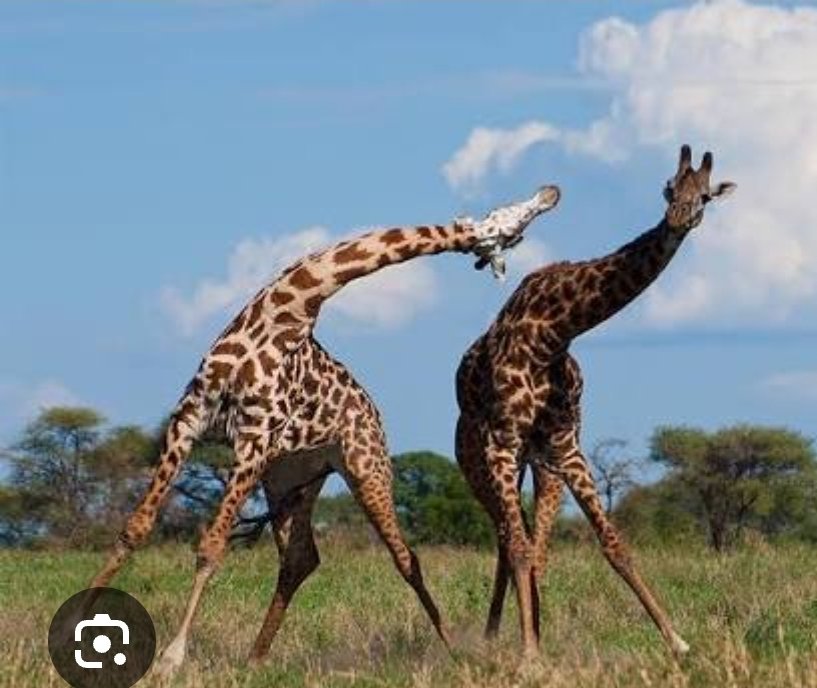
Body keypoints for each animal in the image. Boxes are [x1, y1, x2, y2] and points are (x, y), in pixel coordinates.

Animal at [81, 184, 561, 675]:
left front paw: (171, 658)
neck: (288, 306)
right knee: (299, 558)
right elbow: (136, 527)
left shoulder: (252, 437)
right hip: (289, 478)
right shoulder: (190, 418)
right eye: (511, 220)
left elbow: (211, 547)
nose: (550, 193)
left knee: (405, 557)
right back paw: (255, 657)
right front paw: (78, 623)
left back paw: (454, 650)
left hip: (364, 469)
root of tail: (372, 411)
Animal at [455, 146, 735, 657]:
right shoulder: (502, 441)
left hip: (541, 468)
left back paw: (528, 630)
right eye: (669, 187)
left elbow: (614, 544)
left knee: (531, 544)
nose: (679, 218)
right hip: (477, 459)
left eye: (705, 195)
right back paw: (495, 637)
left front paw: (677, 642)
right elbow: (517, 547)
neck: (555, 330)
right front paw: (528, 655)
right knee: (508, 540)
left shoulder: (566, 444)